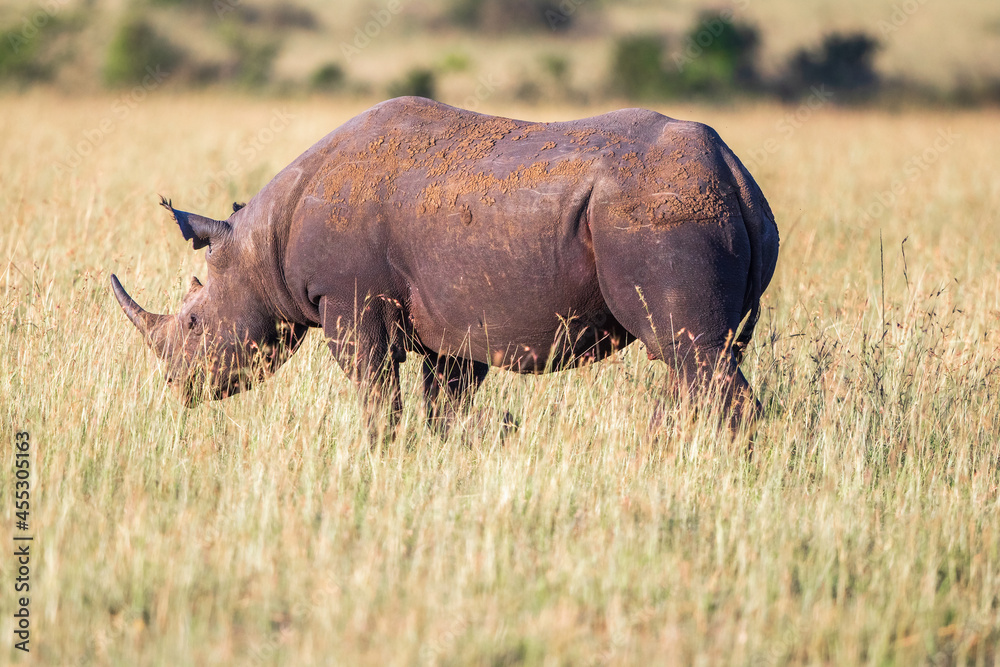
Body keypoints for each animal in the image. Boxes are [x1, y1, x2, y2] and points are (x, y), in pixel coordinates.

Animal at [111, 97, 779, 435]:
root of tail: (736, 175)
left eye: (194, 324)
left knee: (690, 352)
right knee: (701, 357)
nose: (178, 388)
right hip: (710, 209)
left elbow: (376, 390)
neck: (258, 246)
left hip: (656, 214)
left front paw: (379, 452)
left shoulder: (349, 301)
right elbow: (444, 402)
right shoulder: (454, 321)